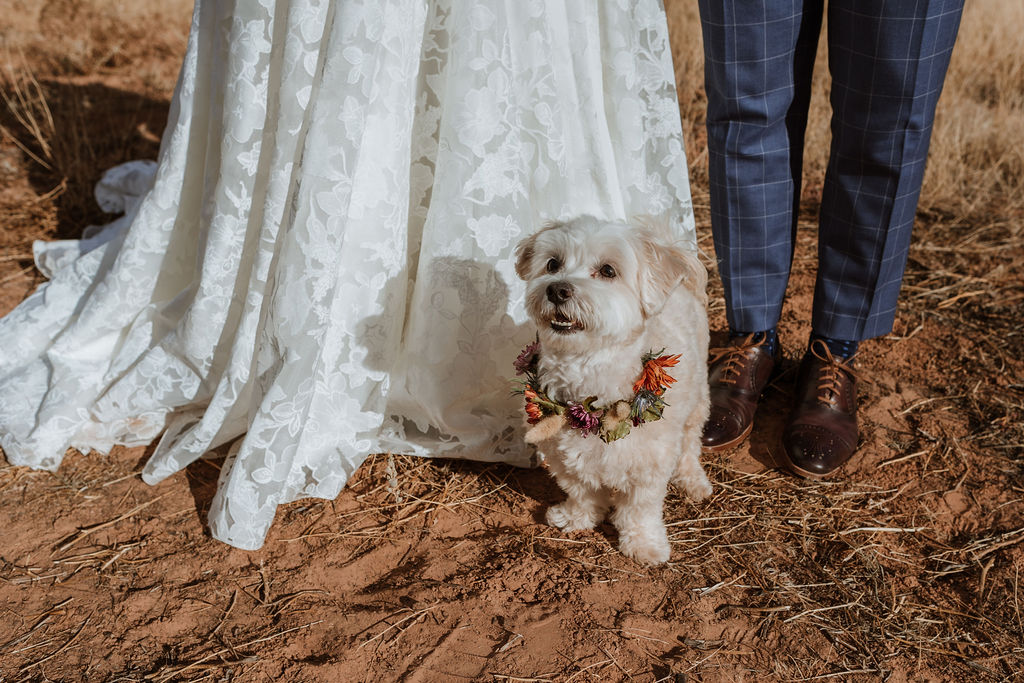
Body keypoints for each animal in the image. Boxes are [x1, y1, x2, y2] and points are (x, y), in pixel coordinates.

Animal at [516, 215, 708, 565]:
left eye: (608, 270)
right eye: (553, 264)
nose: (557, 289)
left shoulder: (650, 466)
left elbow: (640, 509)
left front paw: (644, 544)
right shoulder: (562, 457)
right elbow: (581, 490)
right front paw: (576, 517)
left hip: (698, 400)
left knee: (690, 444)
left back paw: (693, 480)